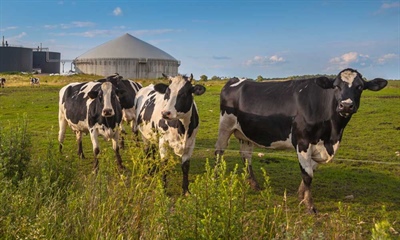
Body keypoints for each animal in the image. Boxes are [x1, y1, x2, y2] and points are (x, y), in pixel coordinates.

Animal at [216, 68, 388, 213]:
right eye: (336, 86)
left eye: (360, 87)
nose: (346, 106)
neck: (332, 135)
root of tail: (236, 79)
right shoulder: (303, 141)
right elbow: (307, 175)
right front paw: (310, 205)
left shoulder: (319, 147)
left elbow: (311, 170)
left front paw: (301, 196)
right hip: (225, 125)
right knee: (219, 150)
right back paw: (216, 176)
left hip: (245, 134)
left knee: (246, 157)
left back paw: (254, 184)